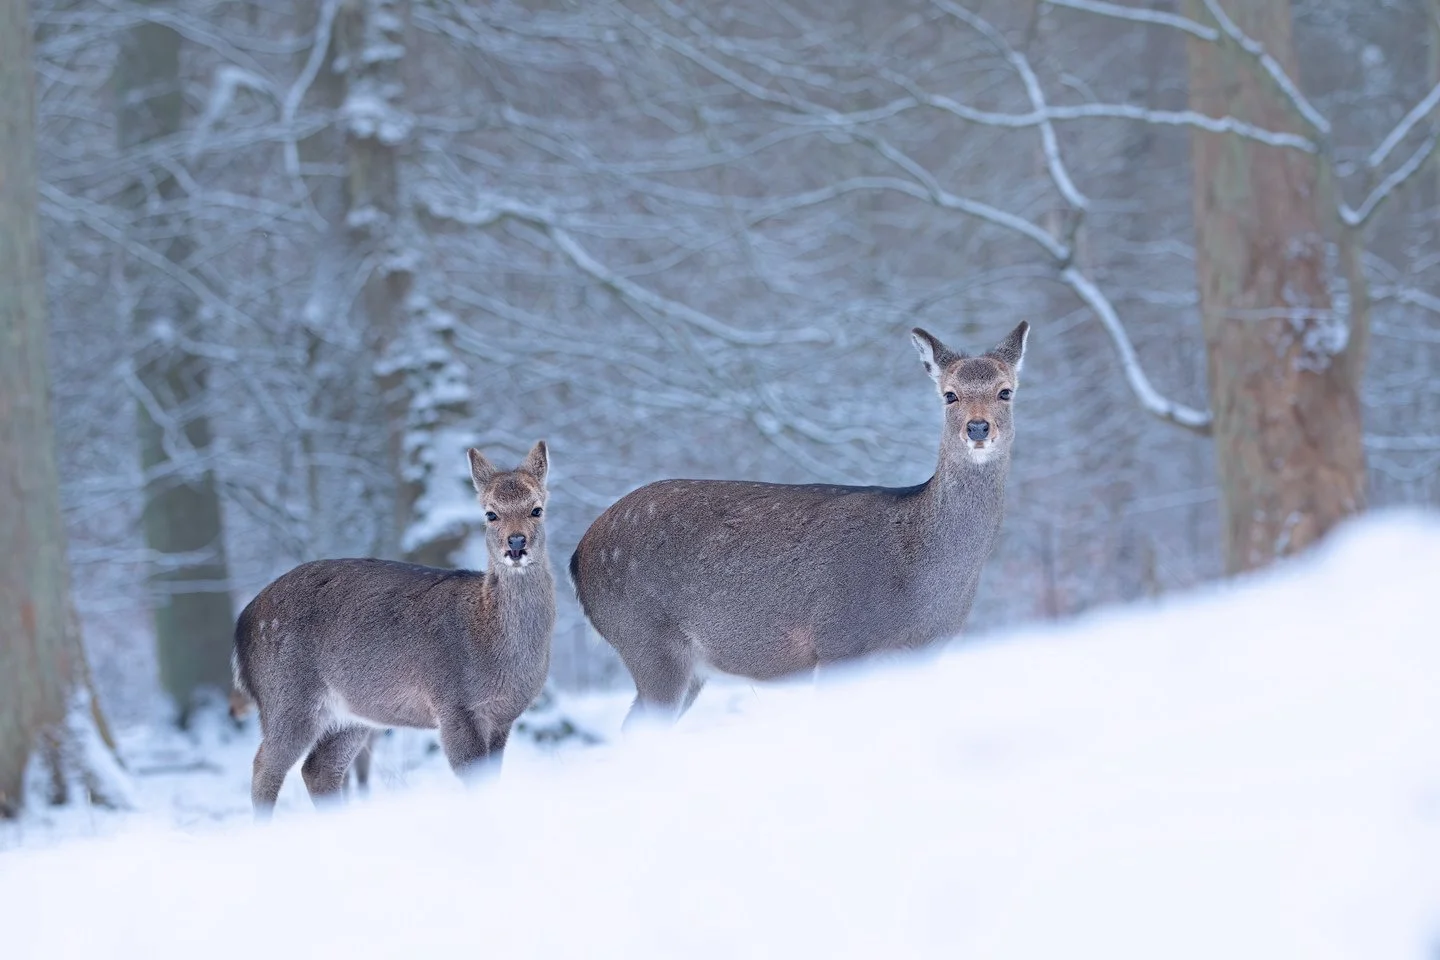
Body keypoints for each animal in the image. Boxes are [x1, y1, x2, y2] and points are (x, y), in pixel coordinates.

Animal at [232, 442, 556, 818]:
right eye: (490, 513)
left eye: (536, 509)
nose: (516, 544)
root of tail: (243, 623)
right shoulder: (454, 705)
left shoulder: (503, 717)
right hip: (287, 695)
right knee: (264, 765)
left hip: (351, 715)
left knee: (319, 768)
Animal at [570, 323, 1028, 728]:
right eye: (950, 395)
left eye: (1006, 391)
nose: (977, 427)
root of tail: (578, 556)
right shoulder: (839, 641)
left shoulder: (925, 655)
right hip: (647, 638)